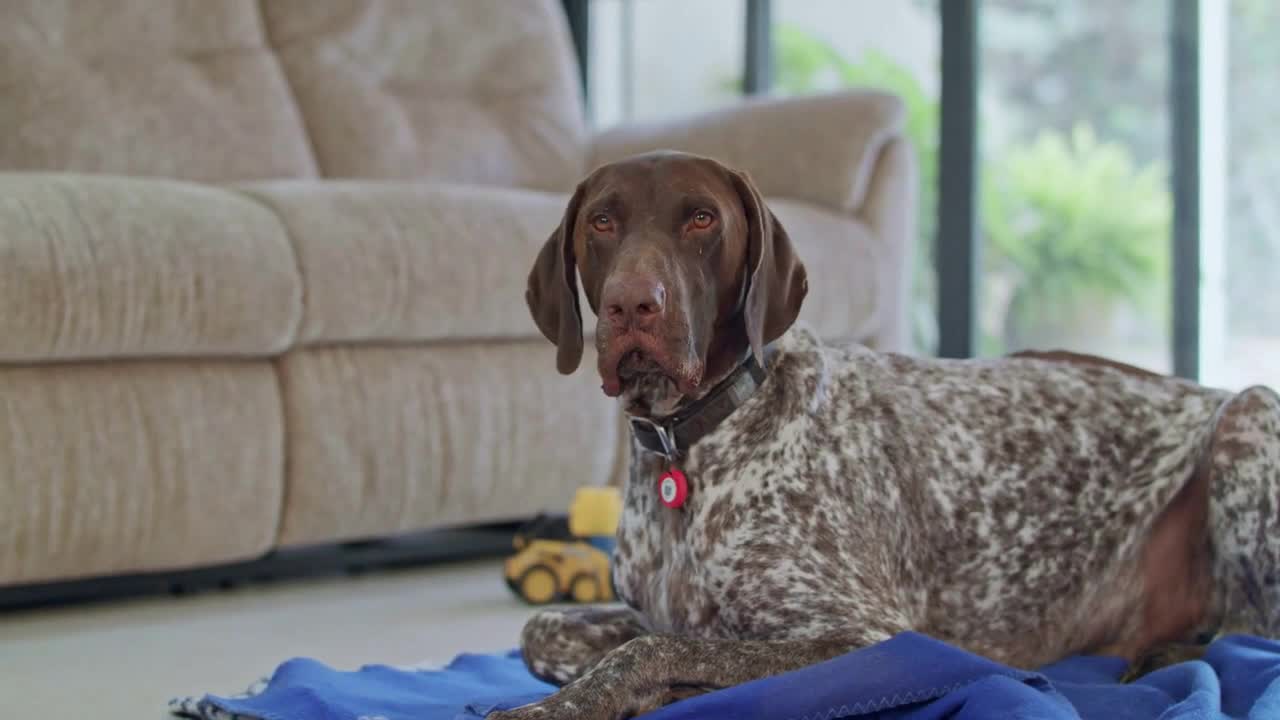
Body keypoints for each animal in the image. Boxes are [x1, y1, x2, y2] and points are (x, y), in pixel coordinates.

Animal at [488, 152, 1280, 717]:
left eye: (702, 220)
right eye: (602, 223)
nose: (632, 305)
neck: (694, 448)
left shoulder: (872, 635)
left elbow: (662, 651)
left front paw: (565, 707)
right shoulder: (635, 610)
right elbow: (544, 630)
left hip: (1248, 414)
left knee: (1251, 635)